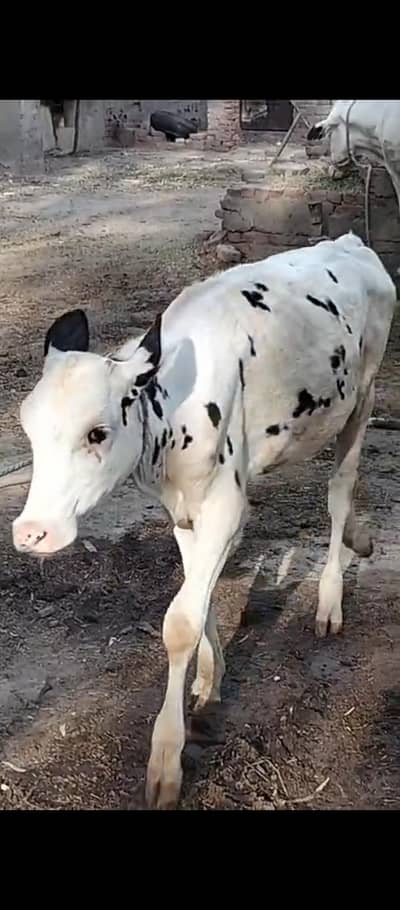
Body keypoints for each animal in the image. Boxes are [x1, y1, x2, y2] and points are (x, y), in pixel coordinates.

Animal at [12, 232, 396, 809]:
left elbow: (180, 623)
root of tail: (350, 242)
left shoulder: (225, 503)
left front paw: (165, 762)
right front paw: (211, 679)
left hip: (362, 400)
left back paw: (330, 598)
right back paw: (362, 539)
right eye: (27, 426)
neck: (168, 416)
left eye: (97, 432)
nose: (31, 532)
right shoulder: (183, 508)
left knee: (339, 492)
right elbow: (201, 591)